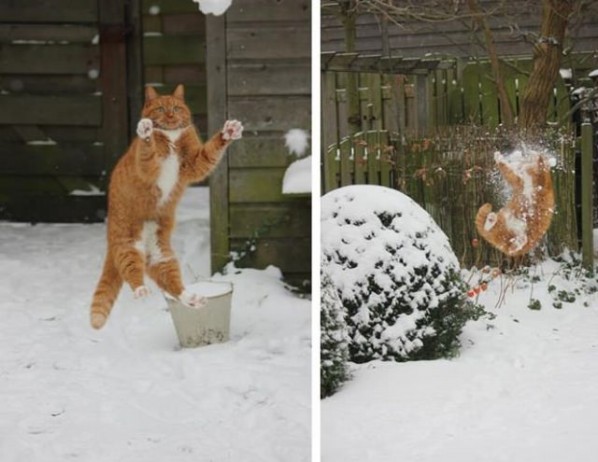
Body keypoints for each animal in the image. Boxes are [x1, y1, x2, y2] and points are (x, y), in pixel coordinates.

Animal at [89, 85, 244, 330]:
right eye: (161, 108)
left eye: (177, 108)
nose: (171, 115)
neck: (171, 137)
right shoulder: (148, 167)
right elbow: (147, 151)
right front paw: (146, 132)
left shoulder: (195, 163)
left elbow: (210, 152)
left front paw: (228, 132)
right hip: (127, 245)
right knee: (131, 271)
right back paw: (141, 289)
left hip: (162, 257)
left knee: (172, 285)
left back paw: (191, 298)